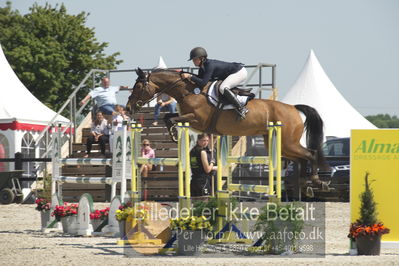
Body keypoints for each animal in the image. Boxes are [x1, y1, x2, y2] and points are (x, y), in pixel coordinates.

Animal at [127, 67, 332, 190]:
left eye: (138, 87)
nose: (128, 108)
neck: (188, 91)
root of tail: (293, 108)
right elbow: (168, 117)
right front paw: (173, 133)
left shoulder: (197, 120)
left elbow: (172, 119)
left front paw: (173, 134)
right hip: (280, 144)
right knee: (302, 158)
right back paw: (305, 184)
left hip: (287, 142)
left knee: (310, 154)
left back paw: (316, 181)